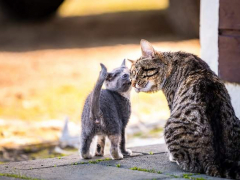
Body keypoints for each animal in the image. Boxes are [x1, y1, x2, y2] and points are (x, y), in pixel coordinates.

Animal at [129, 39, 240, 179]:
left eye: (137, 73)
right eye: (131, 76)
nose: (132, 84)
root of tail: (218, 162)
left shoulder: (172, 103)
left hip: (169, 126)